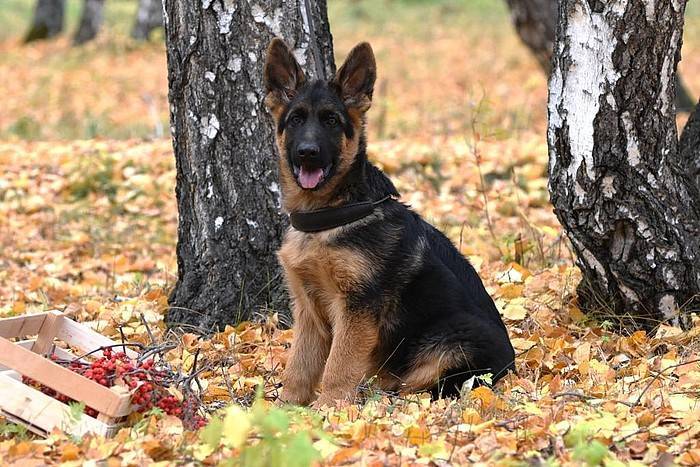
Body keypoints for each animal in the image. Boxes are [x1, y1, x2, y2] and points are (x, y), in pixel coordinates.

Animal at [262, 38, 516, 408]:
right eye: (295, 120)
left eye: (331, 121)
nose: (308, 152)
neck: (328, 218)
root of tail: (511, 369)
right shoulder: (308, 309)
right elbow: (300, 364)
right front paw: (286, 409)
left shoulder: (356, 308)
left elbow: (338, 363)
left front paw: (329, 410)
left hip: (451, 338)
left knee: (428, 385)